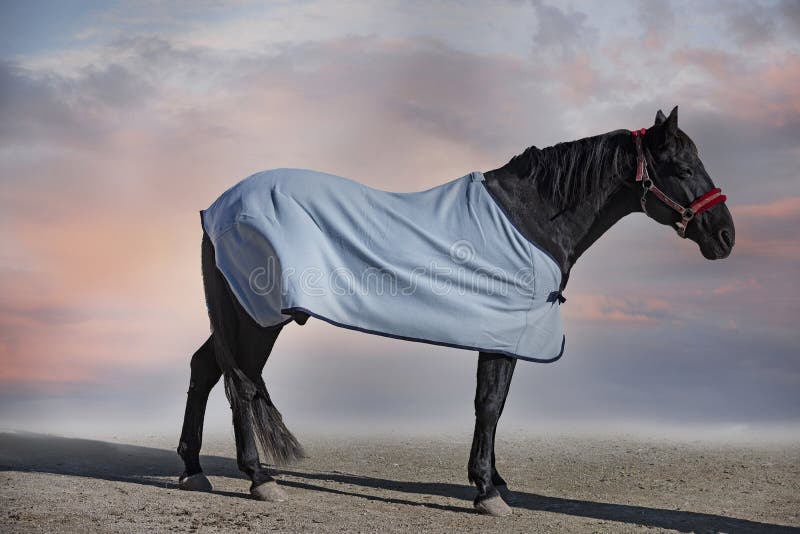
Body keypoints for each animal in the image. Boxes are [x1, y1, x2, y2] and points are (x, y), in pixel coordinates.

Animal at [176, 106, 735, 516]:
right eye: (682, 169)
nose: (726, 236)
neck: (531, 219)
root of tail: (217, 208)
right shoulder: (505, 334)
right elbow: (490, 406)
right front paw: (487, 492)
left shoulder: (502, 334)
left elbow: (493, 407)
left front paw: (497, 483)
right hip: (258, 317)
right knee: (241, 383)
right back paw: (259, 478)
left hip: (242, 315)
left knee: (207, 368)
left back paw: (194, 469)